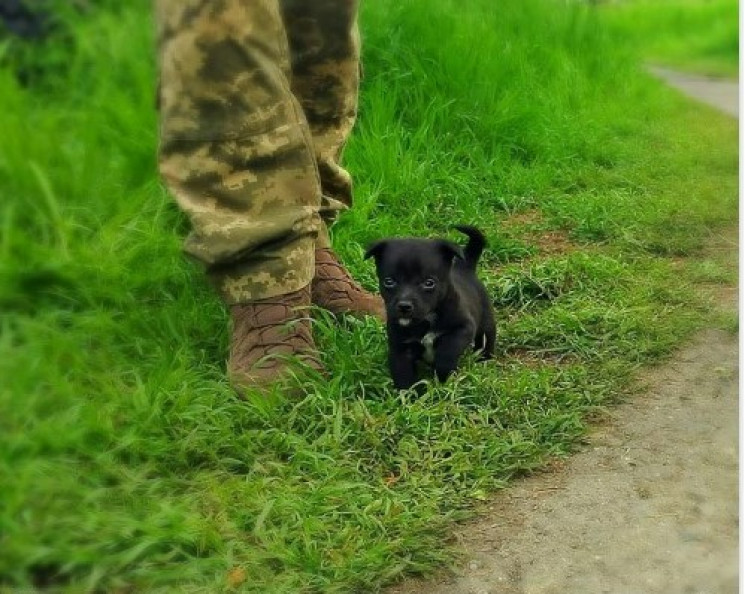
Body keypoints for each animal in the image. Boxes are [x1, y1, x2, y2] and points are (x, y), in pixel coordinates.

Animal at [364, 223, 494, 388]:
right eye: (389, 281)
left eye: (429, 283)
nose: (404, 306)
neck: (426, 319)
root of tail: (464, 267)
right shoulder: (400, 348)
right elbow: (403, 374)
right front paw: (411, 393)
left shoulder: (463, 327)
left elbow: (448, 350)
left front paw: (443, 375)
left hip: (486, 324)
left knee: (486, 339)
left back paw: (485, 359)